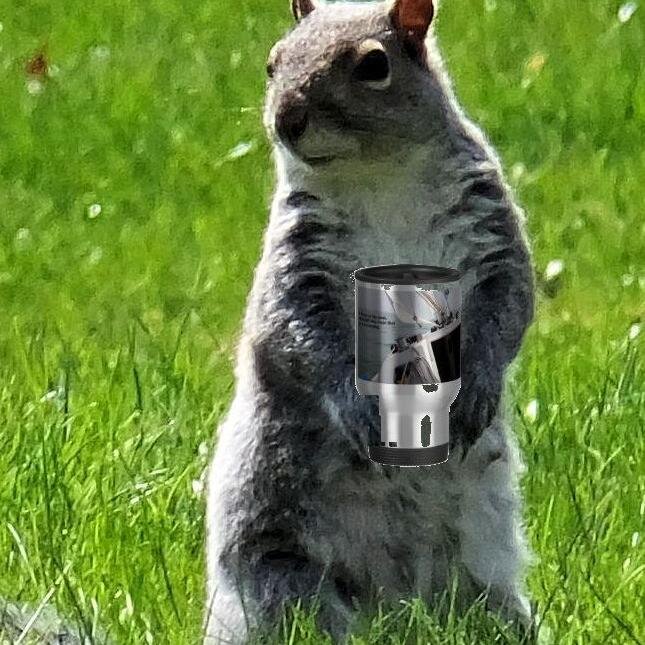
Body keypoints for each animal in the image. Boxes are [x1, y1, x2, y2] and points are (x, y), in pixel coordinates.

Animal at [205, 0, 535, 642]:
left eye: (374, 66)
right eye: (272, 63)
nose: (286, 119)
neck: (379, 176)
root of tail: (399, 603)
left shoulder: (493, 236)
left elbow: (508, 308)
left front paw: (479, 388)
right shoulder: (297, 265)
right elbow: (303, 335)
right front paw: (358, 409)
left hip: (484, 588)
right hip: (278, 566)